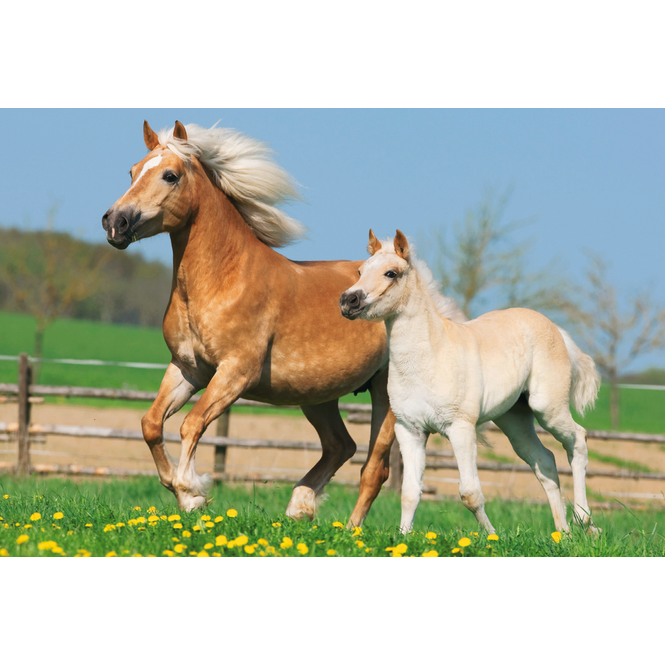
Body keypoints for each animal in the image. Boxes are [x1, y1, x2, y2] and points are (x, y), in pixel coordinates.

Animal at [102, 119, 395, 522]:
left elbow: (192, 424)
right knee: (340, 446)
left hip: (387, 393)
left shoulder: (236, 372)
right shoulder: (188, 369)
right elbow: (151, 424)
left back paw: (349, 527)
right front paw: (185, 492)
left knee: (374, 468)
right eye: (132, 171)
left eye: (170, 175)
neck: (222, 280)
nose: (115, 222)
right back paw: (299, 508)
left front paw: (191, 491)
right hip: (318, 395)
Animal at [340, 230, 601, 535]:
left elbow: (470, 493)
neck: (430, 357)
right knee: (545, 462)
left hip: (547, 408)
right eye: (360, 271)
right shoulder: (410, 430)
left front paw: (492, 537)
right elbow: (409, 492)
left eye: (391, 273)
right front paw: (403, 537)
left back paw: (585, 521)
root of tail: (556, 329)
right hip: (515, 420)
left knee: (578, 441)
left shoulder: (460, 428)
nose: (348, 300)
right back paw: (563, 533)